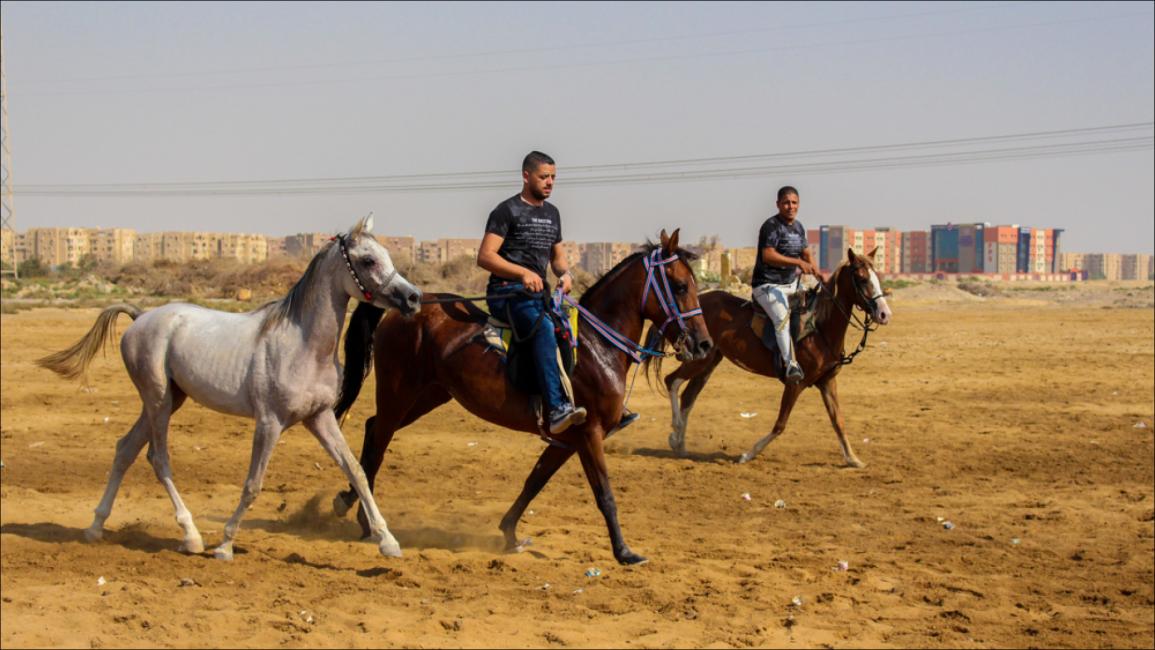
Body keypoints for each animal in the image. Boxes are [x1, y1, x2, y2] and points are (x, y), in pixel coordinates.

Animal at [34, 215, 425, 561]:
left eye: (387, 254)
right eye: (368, 259)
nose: (413, 298)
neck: (303, 346)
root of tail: (140, 317)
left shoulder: (319, 417)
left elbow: (355, 471)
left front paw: (388, 542)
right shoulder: (269, 422)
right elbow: (253, 483)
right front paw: (224, 545)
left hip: (169, 400)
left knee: (125, 449)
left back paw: (95, 527)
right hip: (158, 401)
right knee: (157, 458)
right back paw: (190, 536)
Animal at [332, 228, 711, 565]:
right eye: (680, 286)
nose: (704, 344)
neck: (596, 346)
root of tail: (407, 307)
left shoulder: (568, 438)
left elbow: (535, 481)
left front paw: (509, 533)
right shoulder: (590, 434)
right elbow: (604, 494)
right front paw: (624, 552)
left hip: (428, 396)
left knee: (372, 428)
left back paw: (349, 504)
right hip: (399, 392)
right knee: (378, 441)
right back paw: (366, 522)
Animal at [660, 248, 891, 468]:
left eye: (876, 277)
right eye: (861, 278)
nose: (884, 314)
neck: (819, 326)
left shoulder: (827, 381)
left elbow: (838, 421)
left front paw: (853, 459)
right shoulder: (795, 383)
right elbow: (780, 424)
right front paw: (748, 454)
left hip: (709, 361)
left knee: (688, 396)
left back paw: (679, 443)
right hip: (698, 360)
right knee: (672, 381)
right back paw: (676, 433)